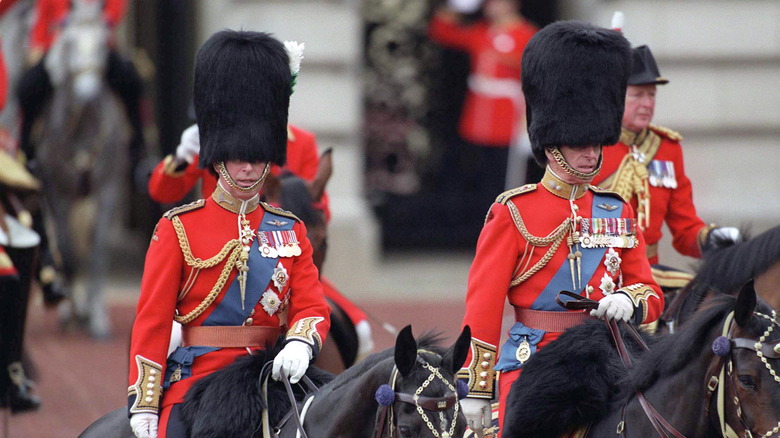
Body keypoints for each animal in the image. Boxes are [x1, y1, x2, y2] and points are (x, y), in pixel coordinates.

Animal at [33, 0, 130, 338]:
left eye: (102, 43)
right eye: (70, 42)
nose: (87, 93)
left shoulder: (108, 190)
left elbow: (98, 249)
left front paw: (96, 316)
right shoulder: (58, 193)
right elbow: (67, 249)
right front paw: (69, 311)